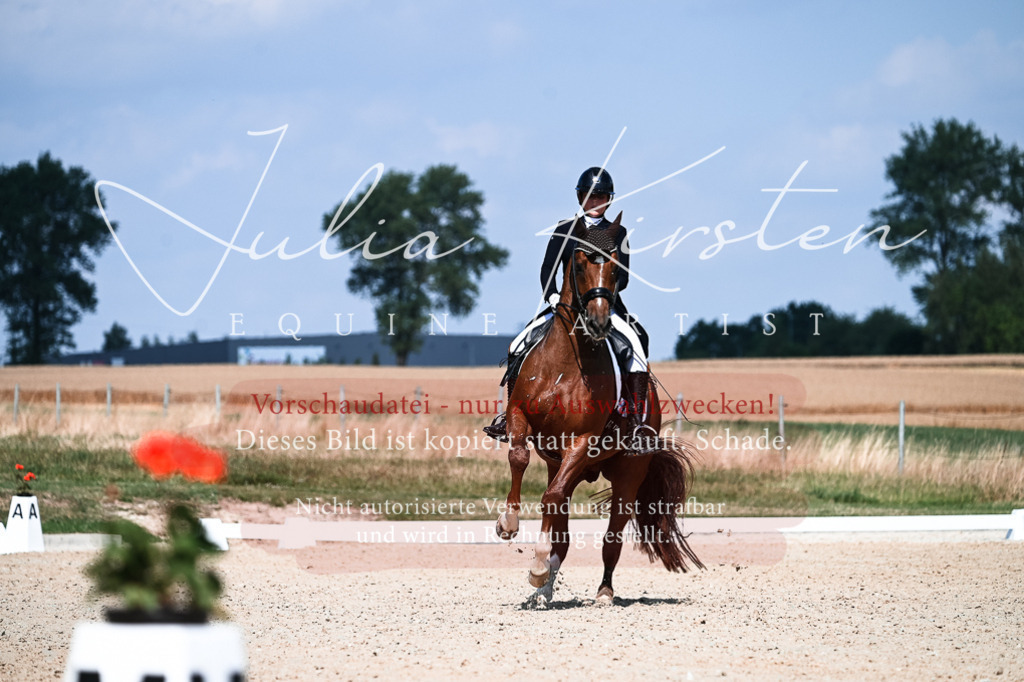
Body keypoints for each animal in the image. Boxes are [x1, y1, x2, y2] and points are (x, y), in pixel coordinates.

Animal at [494, 213, 704, 605]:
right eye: (578, 264)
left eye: (615, 266)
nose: (598, 321)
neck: (565, 362)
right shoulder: (520, 418)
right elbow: (518, 458)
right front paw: (509, 524)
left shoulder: (583, 439)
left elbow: (552, 497)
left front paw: (536, 563)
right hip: (562, 464)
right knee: (560, 522)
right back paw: (543, 591)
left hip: (626, 474)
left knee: (611, 537)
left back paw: (602, 592)